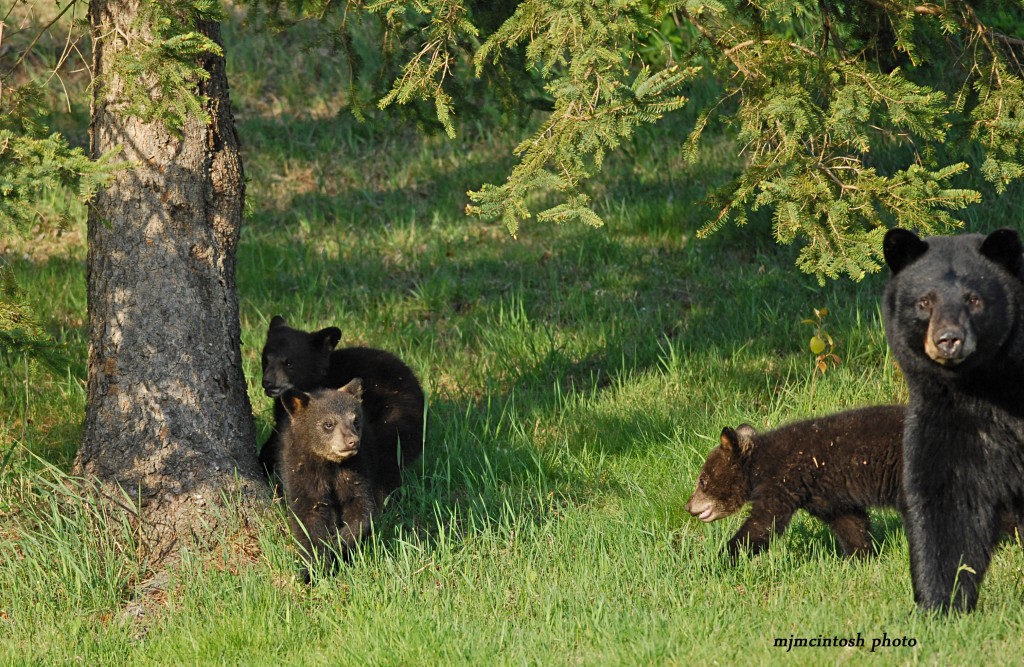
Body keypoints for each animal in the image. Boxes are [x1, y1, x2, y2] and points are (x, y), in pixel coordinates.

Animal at [276, 381, 380, 577]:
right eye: (328, 423)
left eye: (355, 419)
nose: (352, 441)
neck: (329, 465)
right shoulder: (302, 474)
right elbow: (308, 518)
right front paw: (315, 568)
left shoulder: (355, 471)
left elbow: (361, 507)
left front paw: (340, 542)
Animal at [688, 407, 905, 557]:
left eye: (703, 480)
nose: (688, 506)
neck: (758, 466)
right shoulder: (826, 496)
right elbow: (851, 523)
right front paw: (862, 556)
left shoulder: (782, 482)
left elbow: (762, 525)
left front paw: (716, 561)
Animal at [880, 227, 1024, 614]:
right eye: (924, 301)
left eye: (974, 299)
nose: (948, 340)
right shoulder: (949, 418)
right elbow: (947, 505)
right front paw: (940, 604)